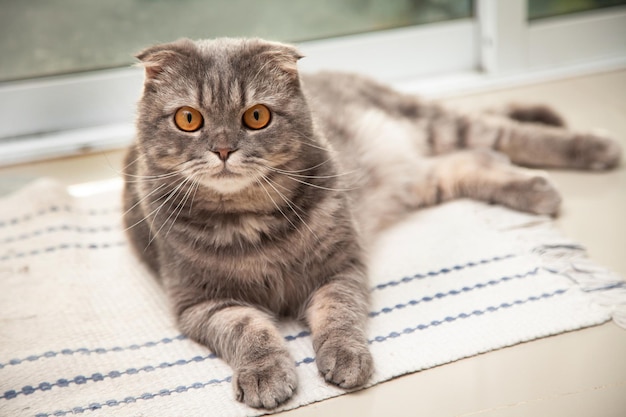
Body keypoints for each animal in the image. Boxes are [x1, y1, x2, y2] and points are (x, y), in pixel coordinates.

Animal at [122, 37, 620, 408]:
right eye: (189, 119)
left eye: (256, 116)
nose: (223, 149)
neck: (250, 219)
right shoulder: (201, 304)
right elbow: (248, 329)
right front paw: (266, 373)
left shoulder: (341, 268)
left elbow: (339, 315)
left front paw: (345, 356)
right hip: (419, 177)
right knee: (474, 159)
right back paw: (535, 189)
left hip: (435, 124)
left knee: (502, 134)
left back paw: (595, 149)